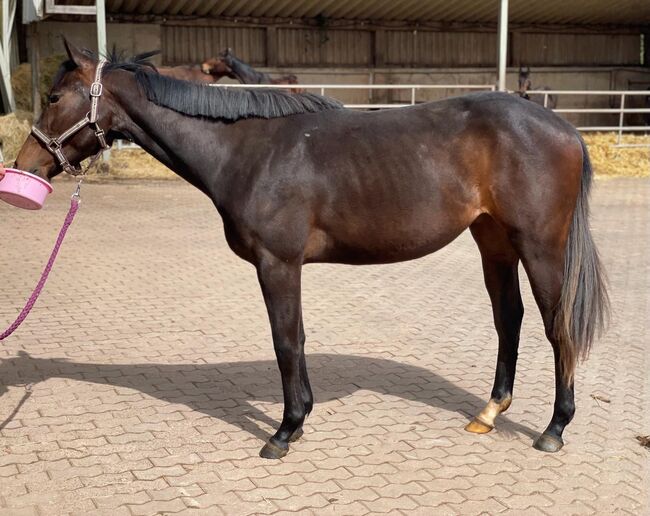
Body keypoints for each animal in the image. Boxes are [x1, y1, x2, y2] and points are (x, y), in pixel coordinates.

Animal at [13, 41, 608, 460]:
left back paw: (554, 429)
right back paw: (488, 413)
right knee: (509, 318)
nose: (25, 167)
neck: (247, 148)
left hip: (540, 247)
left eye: (54, 97)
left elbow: (284, 342)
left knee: (557, 325)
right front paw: (300, 419)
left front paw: (284, 430)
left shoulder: (277, 264)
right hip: (493, 241)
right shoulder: (286, 267)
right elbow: (295, 339)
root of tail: (563, 128)